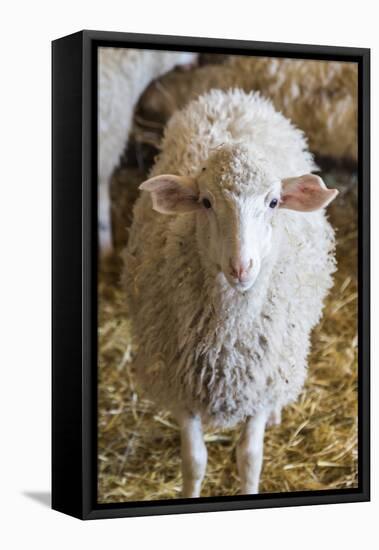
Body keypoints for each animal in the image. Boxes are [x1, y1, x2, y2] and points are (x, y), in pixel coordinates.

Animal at [122, 88, 338, 498]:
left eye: (273, 202)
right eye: (206, 202)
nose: (241, 267)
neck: (229, 342)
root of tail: (233, 96)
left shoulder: (259, 385)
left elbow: (250, 458)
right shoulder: (181, 387)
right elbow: (194, 461)